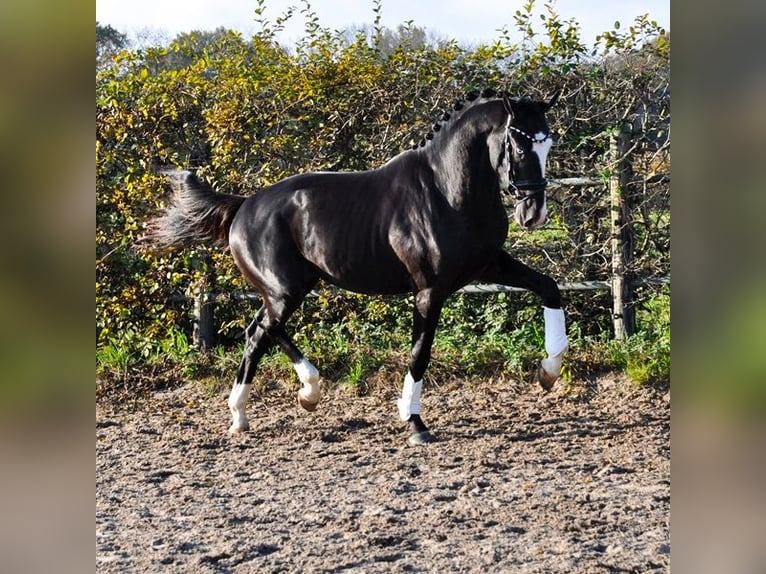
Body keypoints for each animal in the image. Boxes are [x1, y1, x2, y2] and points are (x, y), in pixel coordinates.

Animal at [148, 89, 568, 446]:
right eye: (519, 142)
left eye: (548, 143)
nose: (534, 214)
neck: (447, 192)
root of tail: (243, 205)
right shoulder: (429, 291)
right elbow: (420, 353)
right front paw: (414, 423)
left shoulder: (489, 267)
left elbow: (549, 288)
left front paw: (548, 372)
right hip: (285, 291)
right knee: (262, 331)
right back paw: (299, 393)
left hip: (291, 287)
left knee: (259, 332)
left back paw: (259, 410)